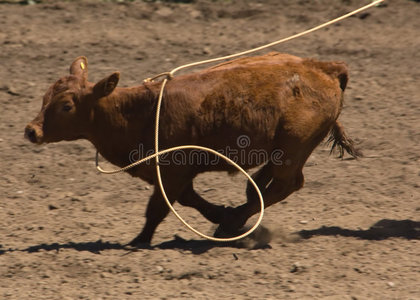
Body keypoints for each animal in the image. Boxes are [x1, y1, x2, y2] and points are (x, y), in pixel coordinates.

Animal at [25, 52, 360, 246]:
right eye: (44, 97)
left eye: (66, 106)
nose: (32, 131)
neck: (139, 112)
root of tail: (325, 68)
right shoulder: (169, 173)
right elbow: (189, 199)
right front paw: (219, 212)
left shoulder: (171, 171)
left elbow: (158, 207)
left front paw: (139, 240)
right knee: (267, 184)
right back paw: (237, 213)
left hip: (294, 147)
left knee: (285, 184)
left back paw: (232, 225)